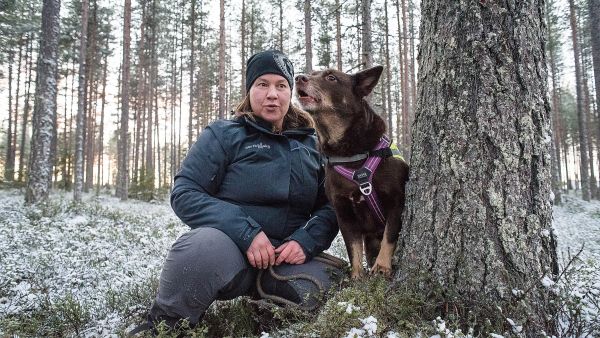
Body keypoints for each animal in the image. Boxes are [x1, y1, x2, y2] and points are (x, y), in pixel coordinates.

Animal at [294, 65, 410, 278]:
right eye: (312, 73)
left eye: (331, 77)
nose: (299, 78)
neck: (350, 154)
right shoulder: (343, 212)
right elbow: (353, 247)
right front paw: (357, 275)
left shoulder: (396, 200)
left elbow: (389, 235)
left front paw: (382, 266)